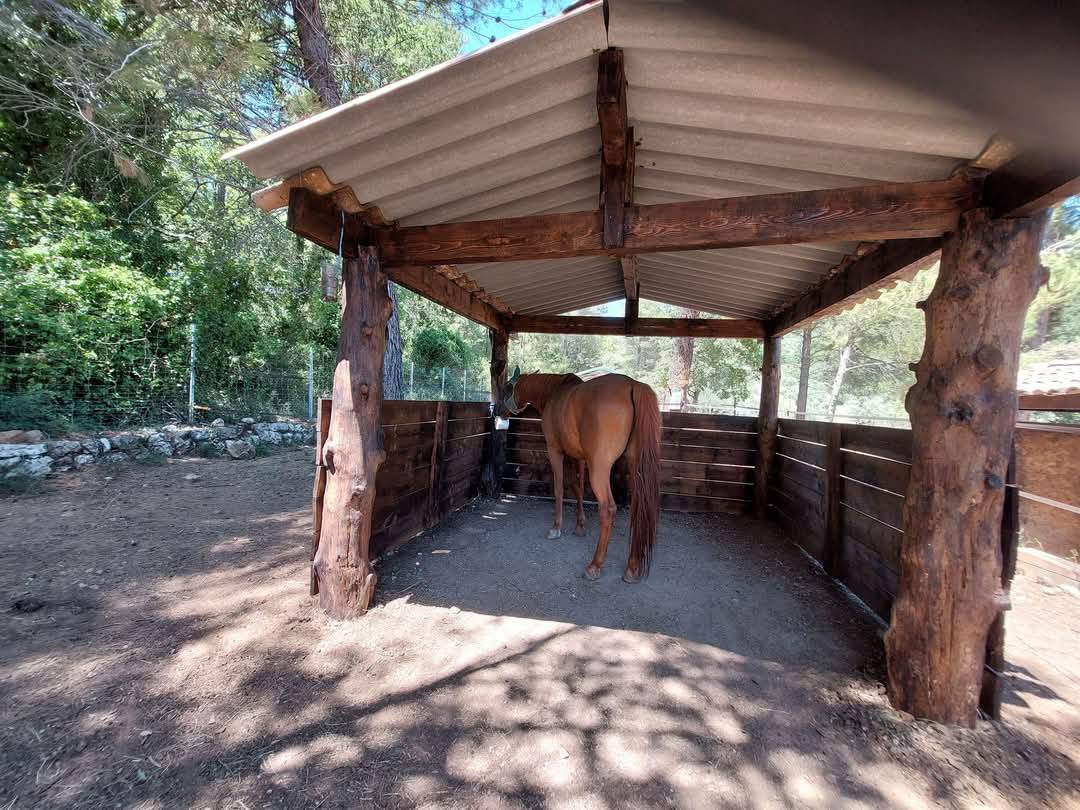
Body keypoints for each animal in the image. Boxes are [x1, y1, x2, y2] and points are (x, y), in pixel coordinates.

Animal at [504, 370, 661, 583]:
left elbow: (560, 488)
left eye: (507, 388)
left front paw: (556, 527)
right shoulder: (579, 458)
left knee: (608, 509)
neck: (554, 392)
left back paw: (594, 565)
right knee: (639, 507)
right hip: (635, 467)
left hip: (599, 469)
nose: (497, 410)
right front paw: (580, 525)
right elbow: (578, 488)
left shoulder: (555, 451)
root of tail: (633, 385)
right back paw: (632, 567)